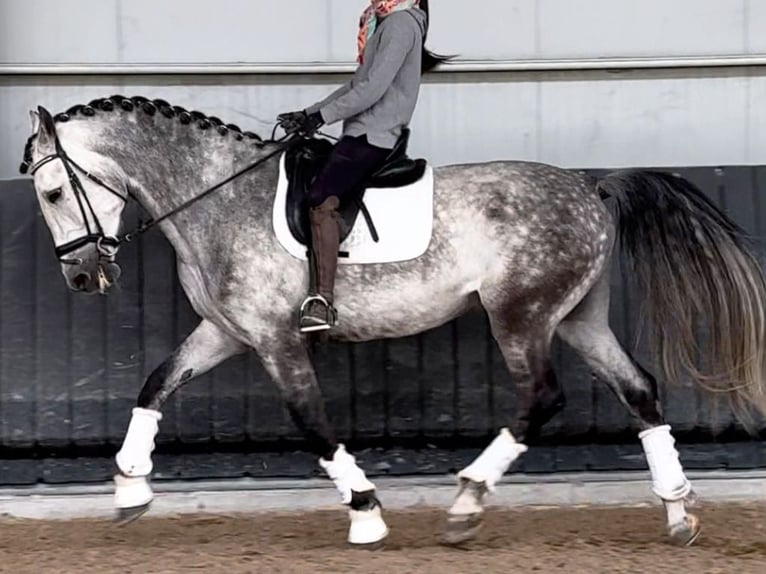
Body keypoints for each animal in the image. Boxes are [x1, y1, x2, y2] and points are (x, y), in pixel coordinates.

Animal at [19, 94, 766, 547]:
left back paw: (467, 502)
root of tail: (592, 186)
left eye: (54, 191)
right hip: (577, 316)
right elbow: (155, 385)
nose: (82, 277)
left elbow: (311, 423)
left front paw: (367, 514)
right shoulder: (227, 332)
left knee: (543, 397)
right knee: (638, 389)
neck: (218, 199)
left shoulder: (275, 339)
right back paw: (677, 509)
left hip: (520, 314)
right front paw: (129, 485)